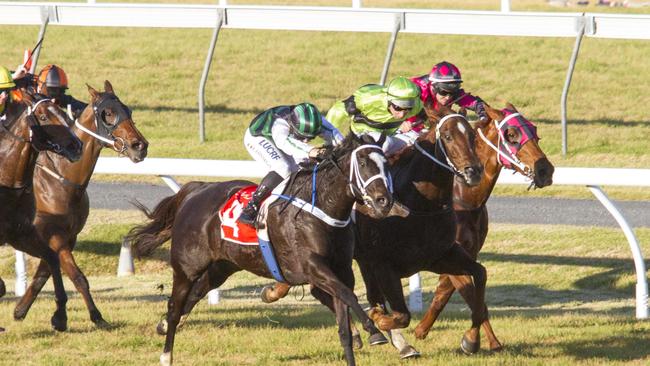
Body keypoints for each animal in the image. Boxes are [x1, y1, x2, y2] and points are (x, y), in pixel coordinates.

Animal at [0, 90, 83, 330]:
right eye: (44, 117)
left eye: (63, 112)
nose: (76, 145)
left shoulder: (20, 233)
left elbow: (52, 259)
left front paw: (60, 316)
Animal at [12, 81, 149, 328]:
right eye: (108, 113)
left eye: (128, 111)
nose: (139, 146)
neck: (62, 180)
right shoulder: (54, 236)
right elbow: (77, 276)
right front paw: (96, 316)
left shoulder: (68, 236)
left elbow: (43, 274)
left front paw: (21, 309)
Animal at [124, 134, 392, 366]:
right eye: (364, 163)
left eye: (386, 164)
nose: (384, 201)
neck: (321, 209)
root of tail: (196, 190)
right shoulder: (313, 266)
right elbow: (348, 295)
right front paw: (374, 330)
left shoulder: (341, 269)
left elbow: (344, 323)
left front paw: (363, 335)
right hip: (186, 268)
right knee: (174, 307)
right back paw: (166, 355)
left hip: (222, 267)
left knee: (196, 293)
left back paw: (163, 327)